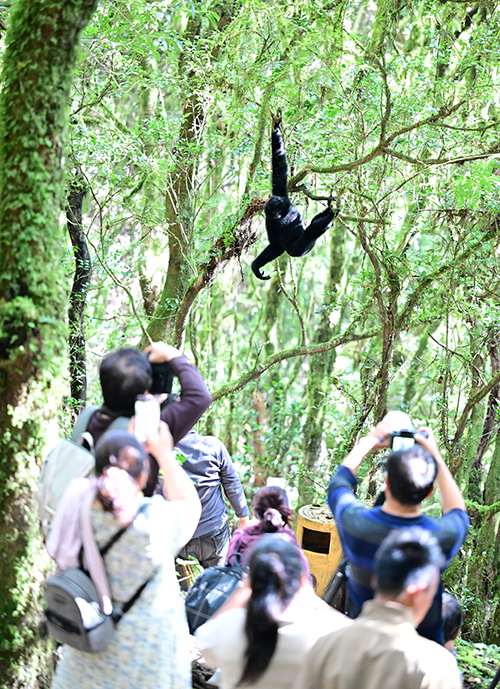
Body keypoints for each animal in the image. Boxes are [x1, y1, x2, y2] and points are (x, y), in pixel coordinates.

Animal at [251, 116, 340, 281]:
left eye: (277, 209)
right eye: (272, 213)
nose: (277, 215)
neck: (285, 212)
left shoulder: (281, 194)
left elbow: (279, 163)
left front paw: (276, 128)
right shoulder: (270, 222)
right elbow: (276, 246)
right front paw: (256, 267)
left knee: (313, 224)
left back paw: (329, 211)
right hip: (298, 249)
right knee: (311, 231)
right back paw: (329, 218)